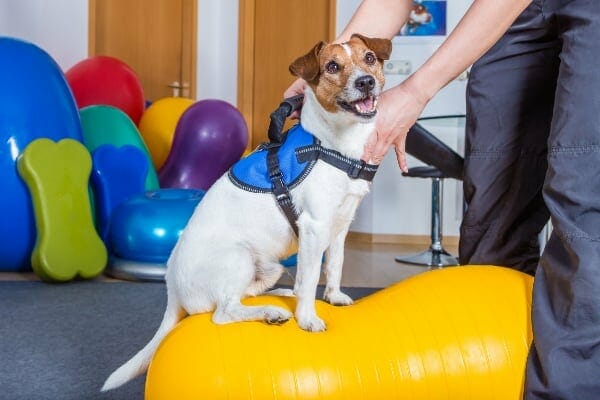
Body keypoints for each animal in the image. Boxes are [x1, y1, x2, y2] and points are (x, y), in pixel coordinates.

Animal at [102, 33, 394, 390]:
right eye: (332, 67)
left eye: (369, 58)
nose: (366, 82)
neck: (332, 144)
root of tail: (172, 286)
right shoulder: (313, 226)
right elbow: (311, 276)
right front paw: (308, 318)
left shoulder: (340, 225)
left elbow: (334, 265)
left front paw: (335, 296)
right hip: (237, 257)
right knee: (223, 311)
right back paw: (272, 311)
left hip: (267, 268)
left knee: (247, 294)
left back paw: (282, 295)